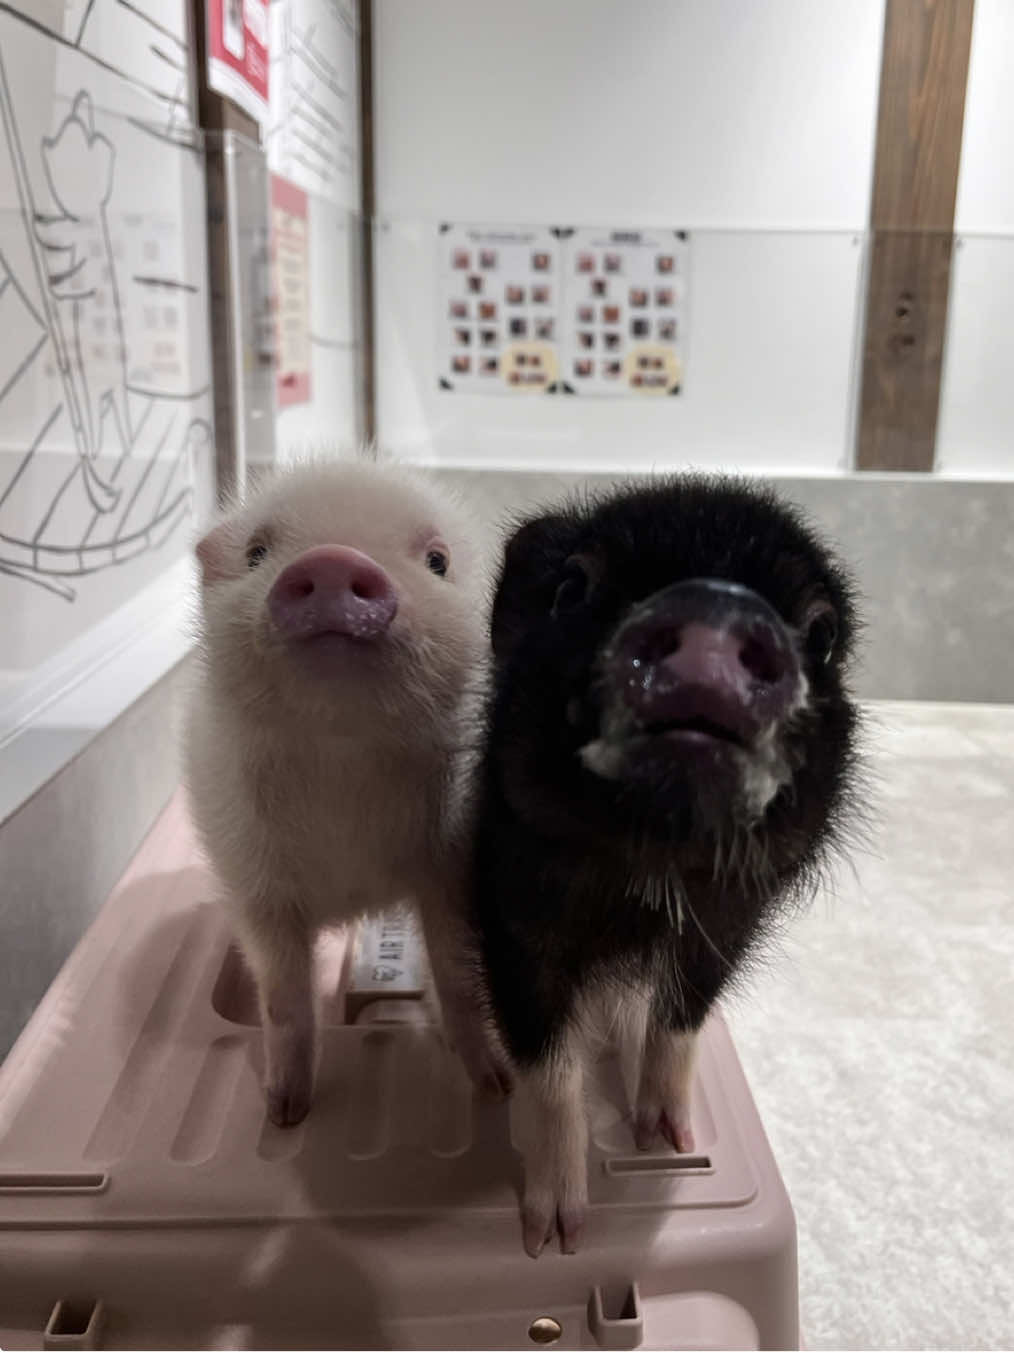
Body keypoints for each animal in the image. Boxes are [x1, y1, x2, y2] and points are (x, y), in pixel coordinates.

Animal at [184, 457, 508, 1127]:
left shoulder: (449, 867)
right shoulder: (256, 886)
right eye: (257, 552)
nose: (332, 560)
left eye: (437, 559)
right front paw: (284, 1115)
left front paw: (496, 1089)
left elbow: (458, 978)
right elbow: (284, 999)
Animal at [471, 475, 861, 1255]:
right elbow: (550, 1065)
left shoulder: (730, 923)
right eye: (573, 588)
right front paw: (556, 1238)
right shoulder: (511, 914)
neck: (650, 871)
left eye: (823, 633)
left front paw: (666, 1141)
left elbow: (683, 1014)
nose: (713, 607)